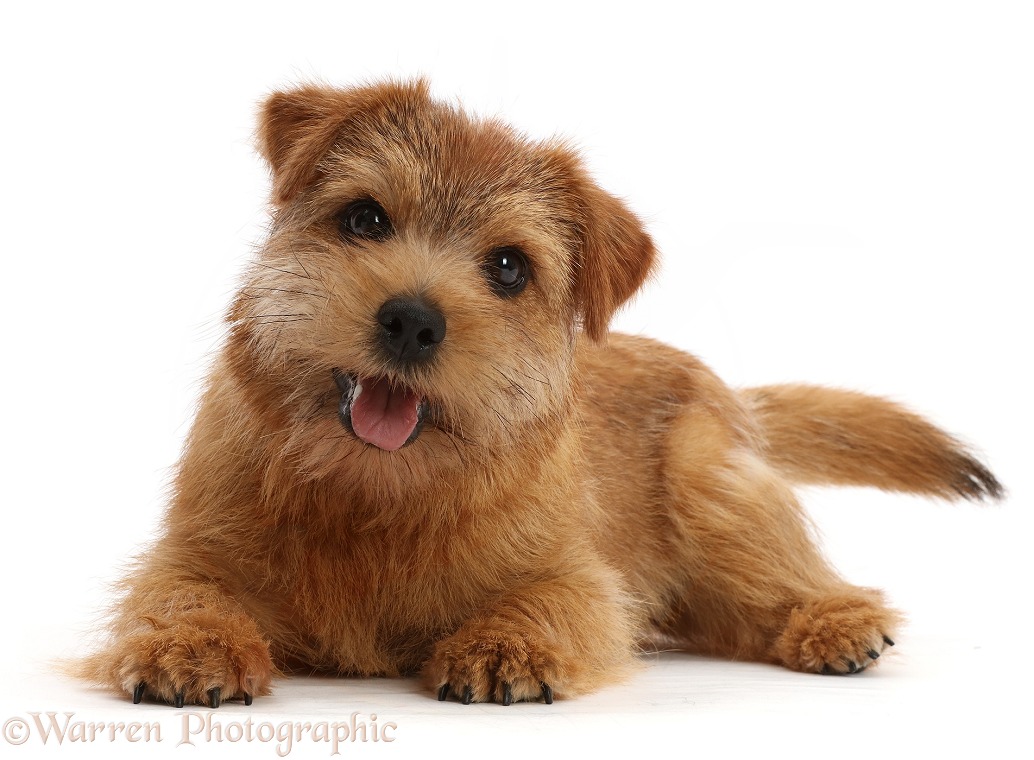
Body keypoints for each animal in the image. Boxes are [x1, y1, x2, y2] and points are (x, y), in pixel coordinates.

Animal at [80, 80, 1000, 711]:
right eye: (365, 218)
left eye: (508, 267)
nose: (412, 320)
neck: (370, 500)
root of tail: (725, 390)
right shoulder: (192, 549)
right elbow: (181, 592)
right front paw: (188, 645)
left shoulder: (583, 579)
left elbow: (547, 601)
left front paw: (503, 649)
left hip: (714, 493)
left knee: (798, 581)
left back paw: (834, 624)